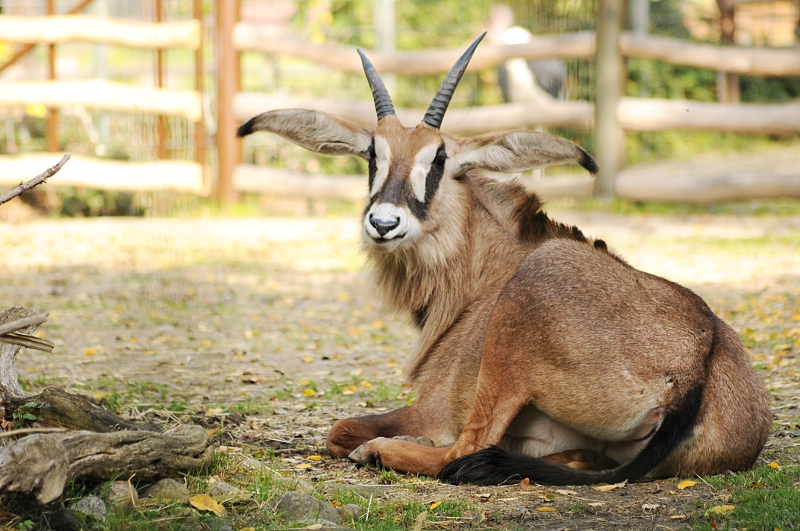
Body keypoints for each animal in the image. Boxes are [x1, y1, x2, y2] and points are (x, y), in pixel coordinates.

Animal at [237, 34, 771, 485]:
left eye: (438, 160)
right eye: (373, 156)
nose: (384, 223)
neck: (482, 281)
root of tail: (696, 359)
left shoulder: (433, 409)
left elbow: (341, 428)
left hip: (519, 322)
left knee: (465, 451)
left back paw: (381, 451)